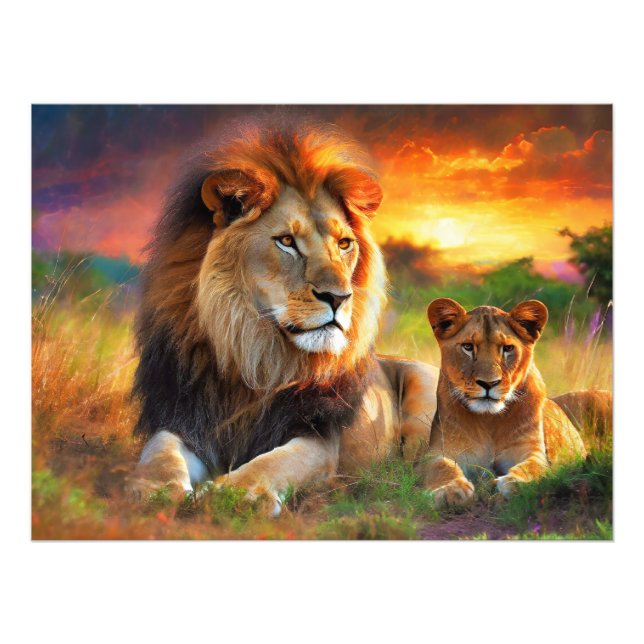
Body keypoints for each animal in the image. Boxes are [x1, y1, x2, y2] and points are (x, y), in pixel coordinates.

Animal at [127, 117, 439, 515]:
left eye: (344, 244)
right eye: (287, 241)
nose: (339, 297)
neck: (253, 354)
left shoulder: (319, 436)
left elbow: (274, 462)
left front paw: (234, 494)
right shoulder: (184, 418)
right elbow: (159, 451)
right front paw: (151, 489)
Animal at [422, 297, 607, 507]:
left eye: (508, 348)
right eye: (468, 347)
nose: (489, 383)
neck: (490, 420)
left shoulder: (532, 451)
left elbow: (532, 468)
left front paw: (512, 483)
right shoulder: (441, 451)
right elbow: (442, 468)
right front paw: (450, 491)